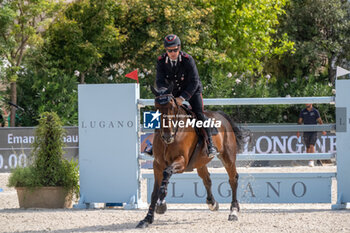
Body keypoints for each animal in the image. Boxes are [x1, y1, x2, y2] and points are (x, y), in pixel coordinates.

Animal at [137, 85, 243, 228]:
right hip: (200, 162)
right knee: (207, 179)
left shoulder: (181, 162)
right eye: (156, 107)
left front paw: (161, 204)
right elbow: (154, 193)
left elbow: (167, 173)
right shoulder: (157, 164)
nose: (167, 136)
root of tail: (222, 116)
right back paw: (212, 203)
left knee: (233, 179)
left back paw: (233, 212)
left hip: (228, 157)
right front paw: (147, 219)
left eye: (172, 107)